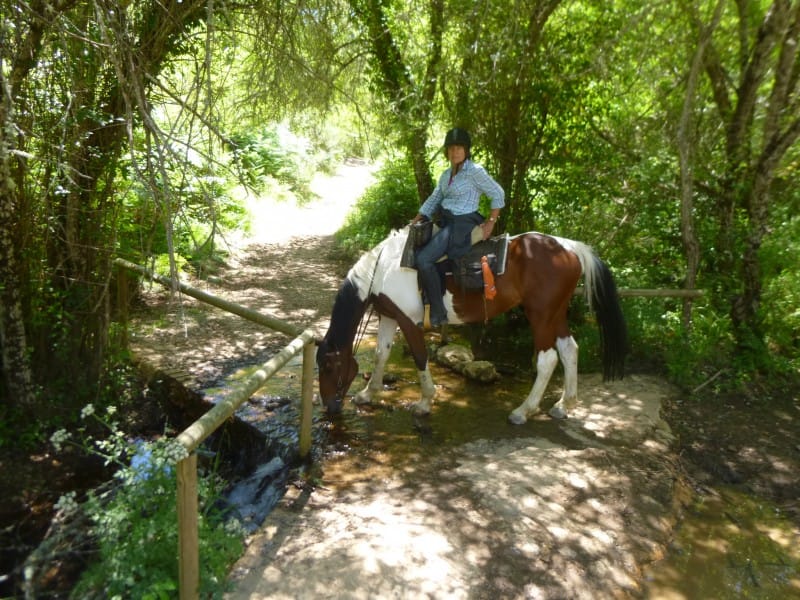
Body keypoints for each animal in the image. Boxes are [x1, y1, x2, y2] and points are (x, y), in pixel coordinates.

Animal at [316, 227, 628, 424]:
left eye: (329, 366)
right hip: (556, 313)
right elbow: (382, 353)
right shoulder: (389, 316)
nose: (329, 407)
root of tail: (571, 248)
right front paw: (367, 394)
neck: (383, 270)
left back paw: (522, 411)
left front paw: (424, 403)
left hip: (540, 314)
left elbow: (420, 357)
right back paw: (564, 405)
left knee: (548, 358)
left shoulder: (408, 321)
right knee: (569, 350)